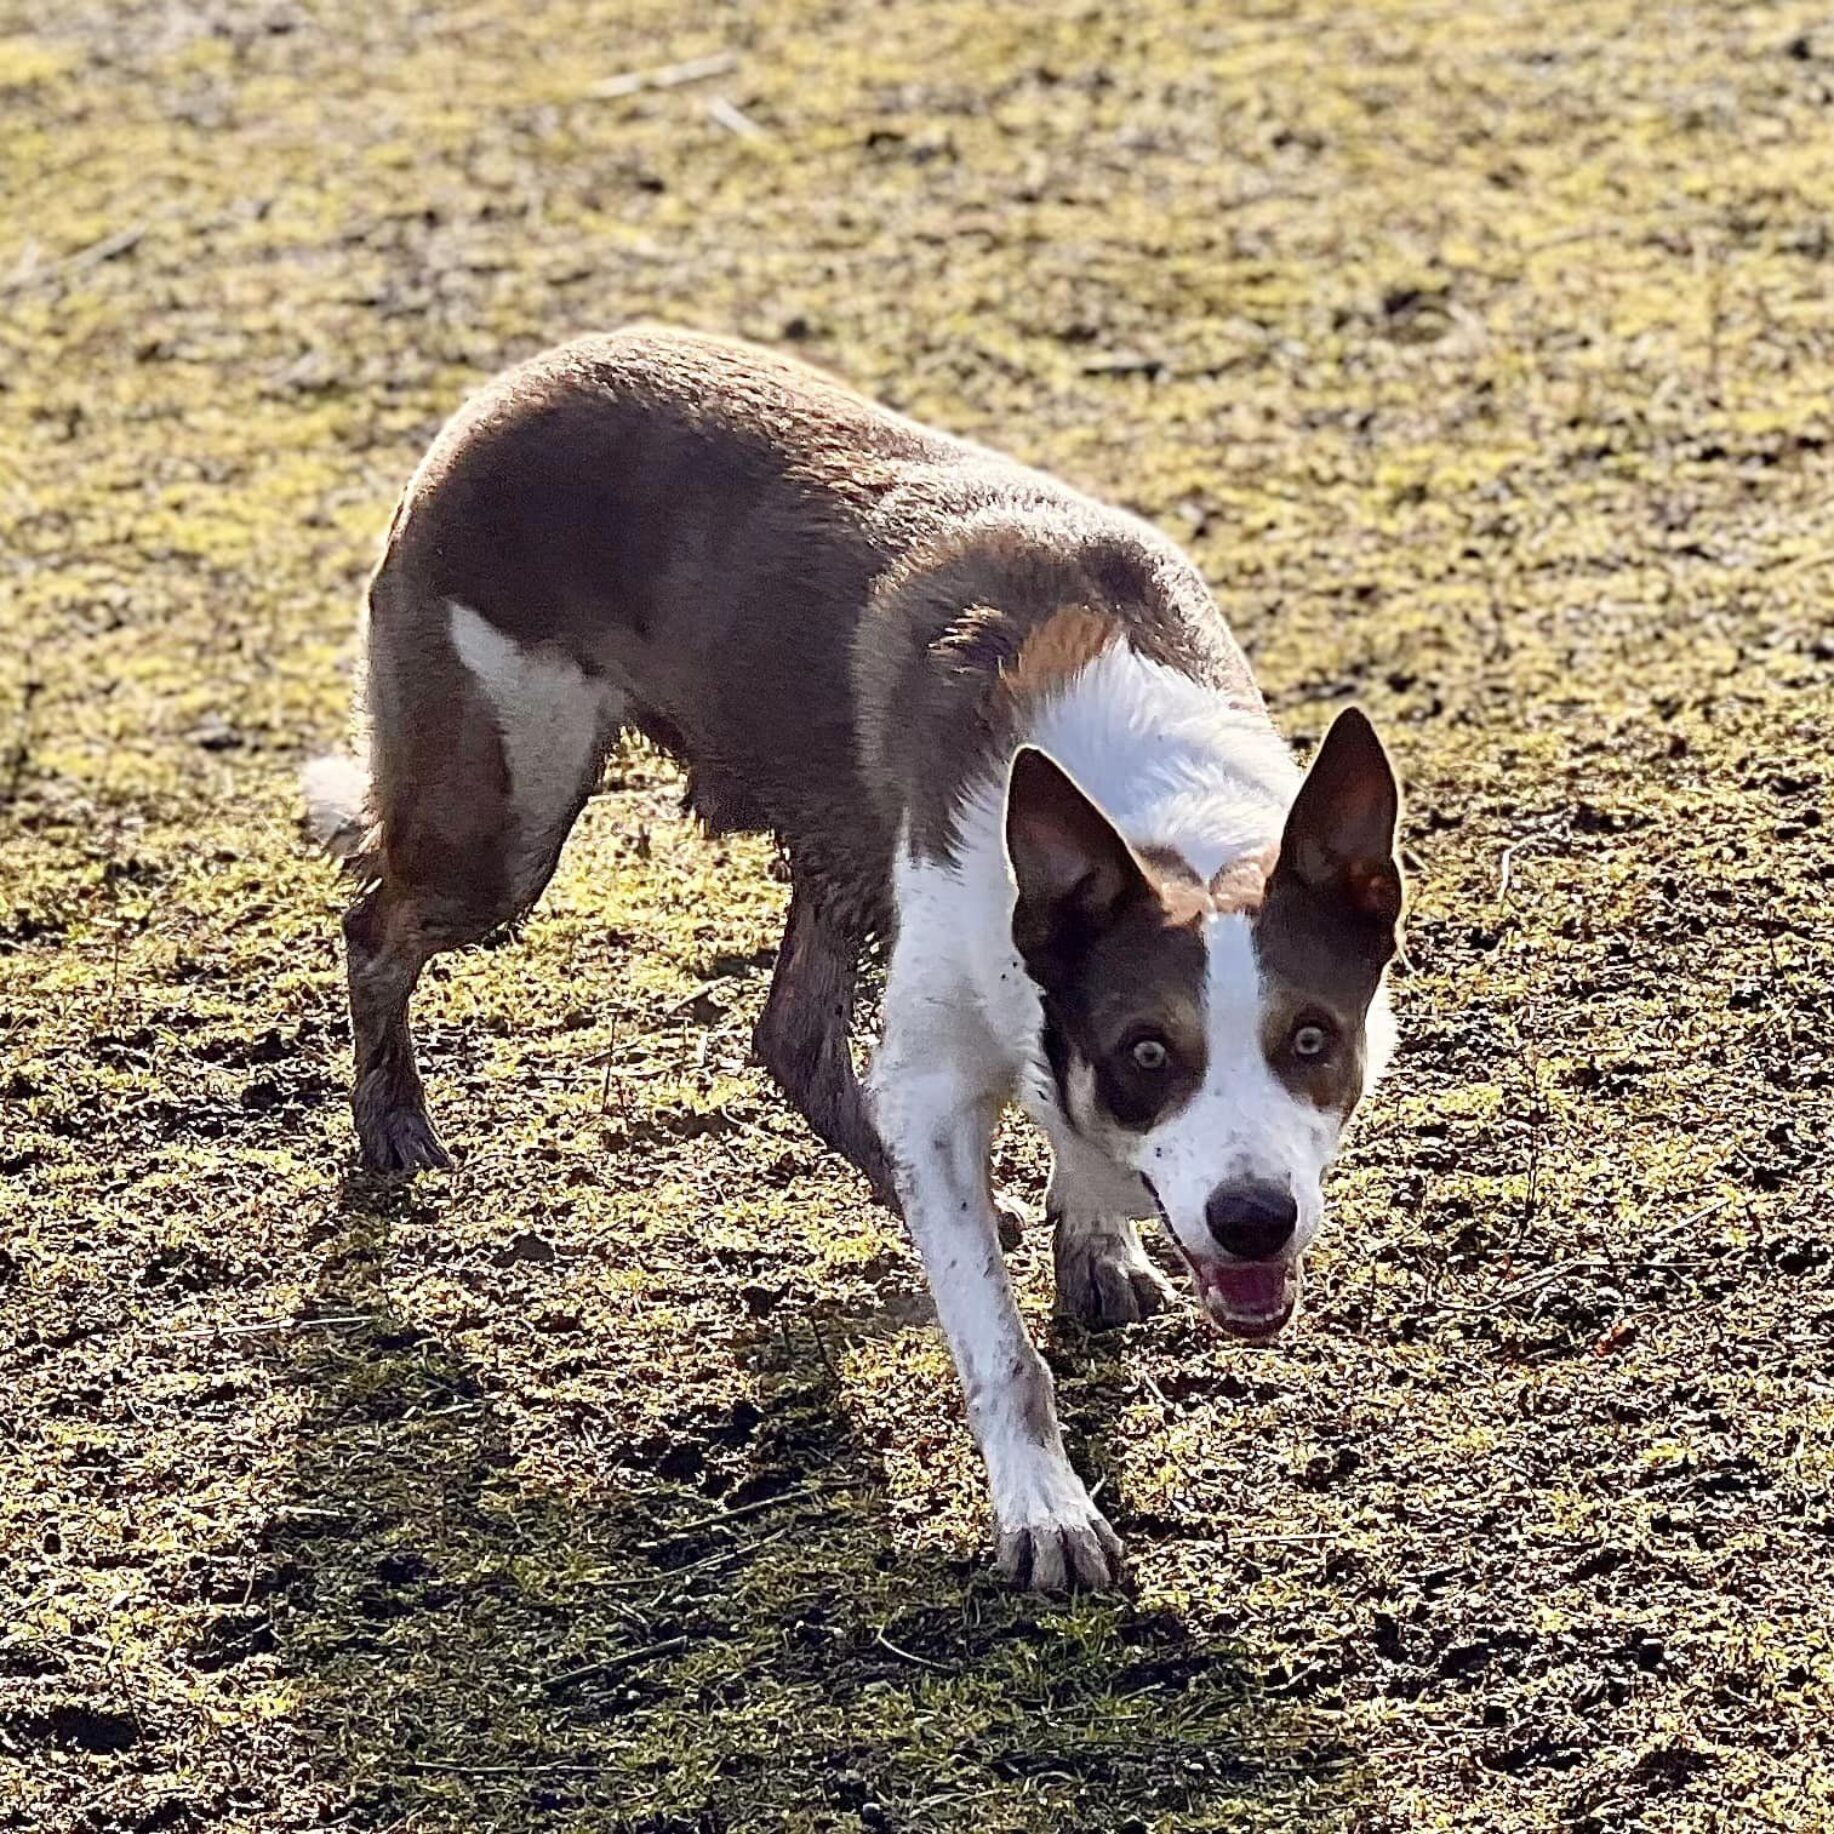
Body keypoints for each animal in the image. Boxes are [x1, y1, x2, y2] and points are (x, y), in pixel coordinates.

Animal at [305, 325, 1403, 1592]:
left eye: (1312, 1039)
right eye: (1146, 1051)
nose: (1253, 1220)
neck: (1137, 791)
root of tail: (511, 385)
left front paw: (1094, 1242)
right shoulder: (935, 1078)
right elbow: (997, 1339)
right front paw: (1043, 1511)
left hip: (821, 844)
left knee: (787, 1036)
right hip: (503, 826)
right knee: (375, 927)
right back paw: (392, 1120)